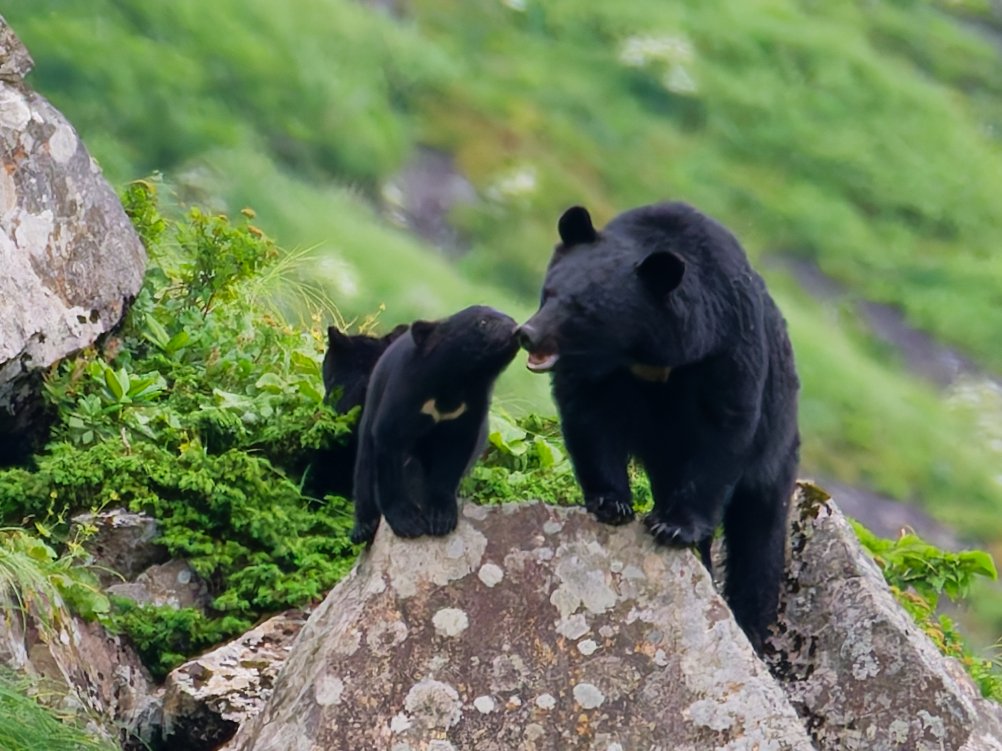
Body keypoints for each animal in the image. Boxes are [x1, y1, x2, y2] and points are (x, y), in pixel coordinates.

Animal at [350, 305, 520, 544]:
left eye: (511, 318)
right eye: (483, 322)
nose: (516, 329)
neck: (456, 381)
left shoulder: (469, 409)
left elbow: (453, 456)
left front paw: (440, 519)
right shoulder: (406, 391)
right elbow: (390, 441)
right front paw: (408, 522)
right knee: (365, 465)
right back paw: (363, 528)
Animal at [517, 202, 800, 651]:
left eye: (583, 310)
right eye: (550, 292)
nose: (527, 333)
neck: (647, 357)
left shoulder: (728, 345)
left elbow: (726, 429)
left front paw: (673, 526)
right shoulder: (602, 375)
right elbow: (589, 417)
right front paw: (611, 502)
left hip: (777, 445)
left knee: (760, 534)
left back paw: (751, 624)